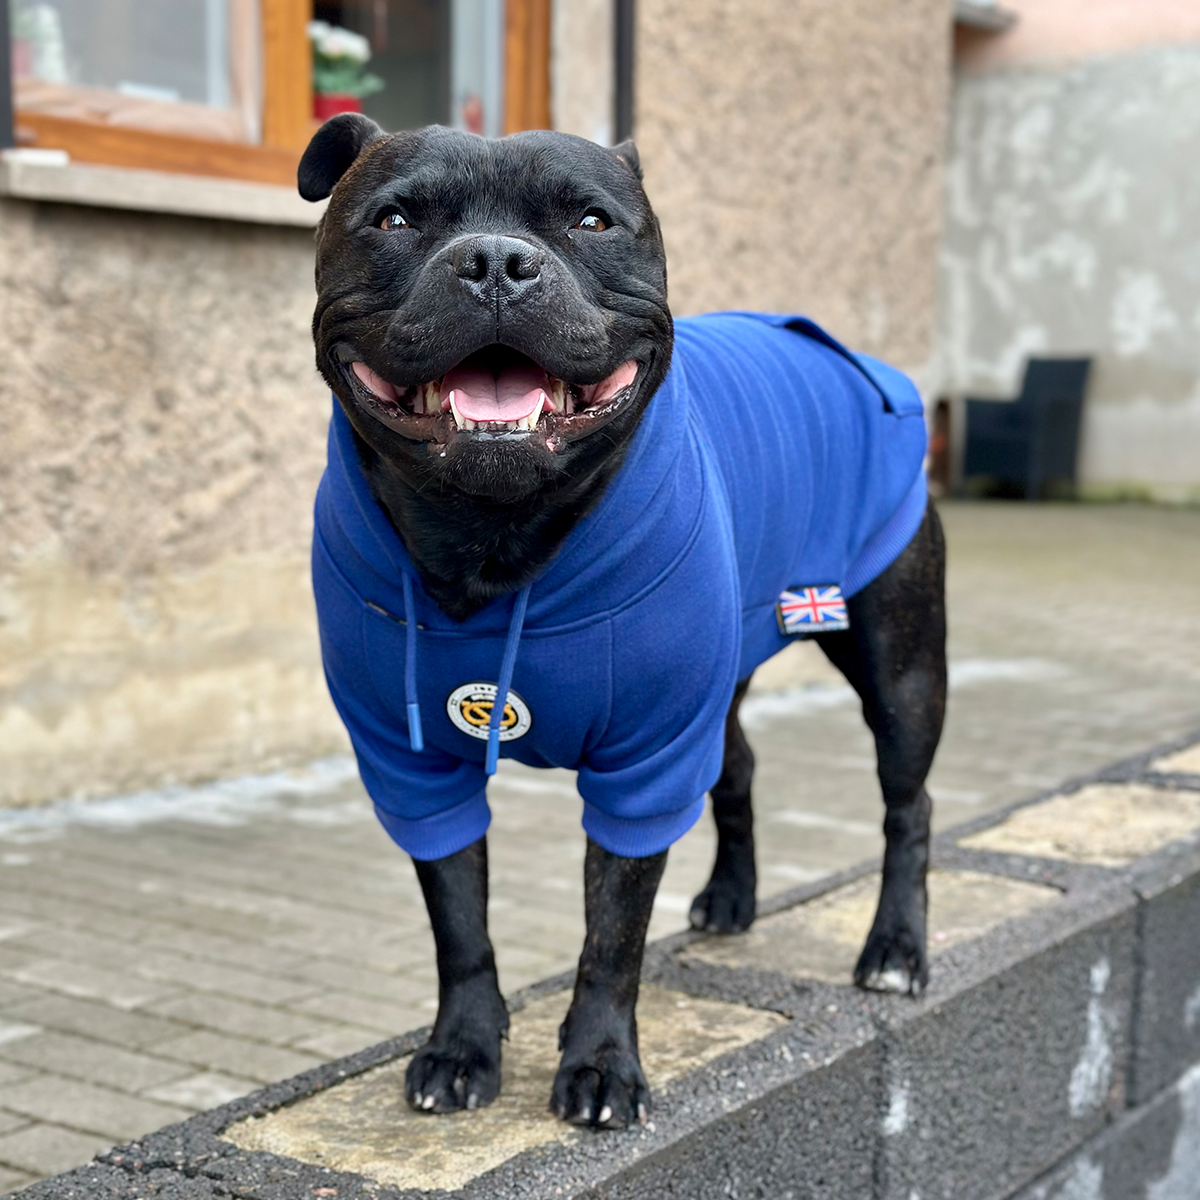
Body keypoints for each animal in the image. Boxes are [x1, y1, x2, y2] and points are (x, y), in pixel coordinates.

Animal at [295, 117, 940, 1128]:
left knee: (908, 806)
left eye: (592, 221)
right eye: (395, 218)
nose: (494, 260)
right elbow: (459, 920)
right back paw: (732, 899)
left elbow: (613, 933)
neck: (494, 536)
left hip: (902, 671)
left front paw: (600, 1064)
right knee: (740, 770)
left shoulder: (647, 760)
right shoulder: (412, 766)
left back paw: (897, 950)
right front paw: (462, 1047)